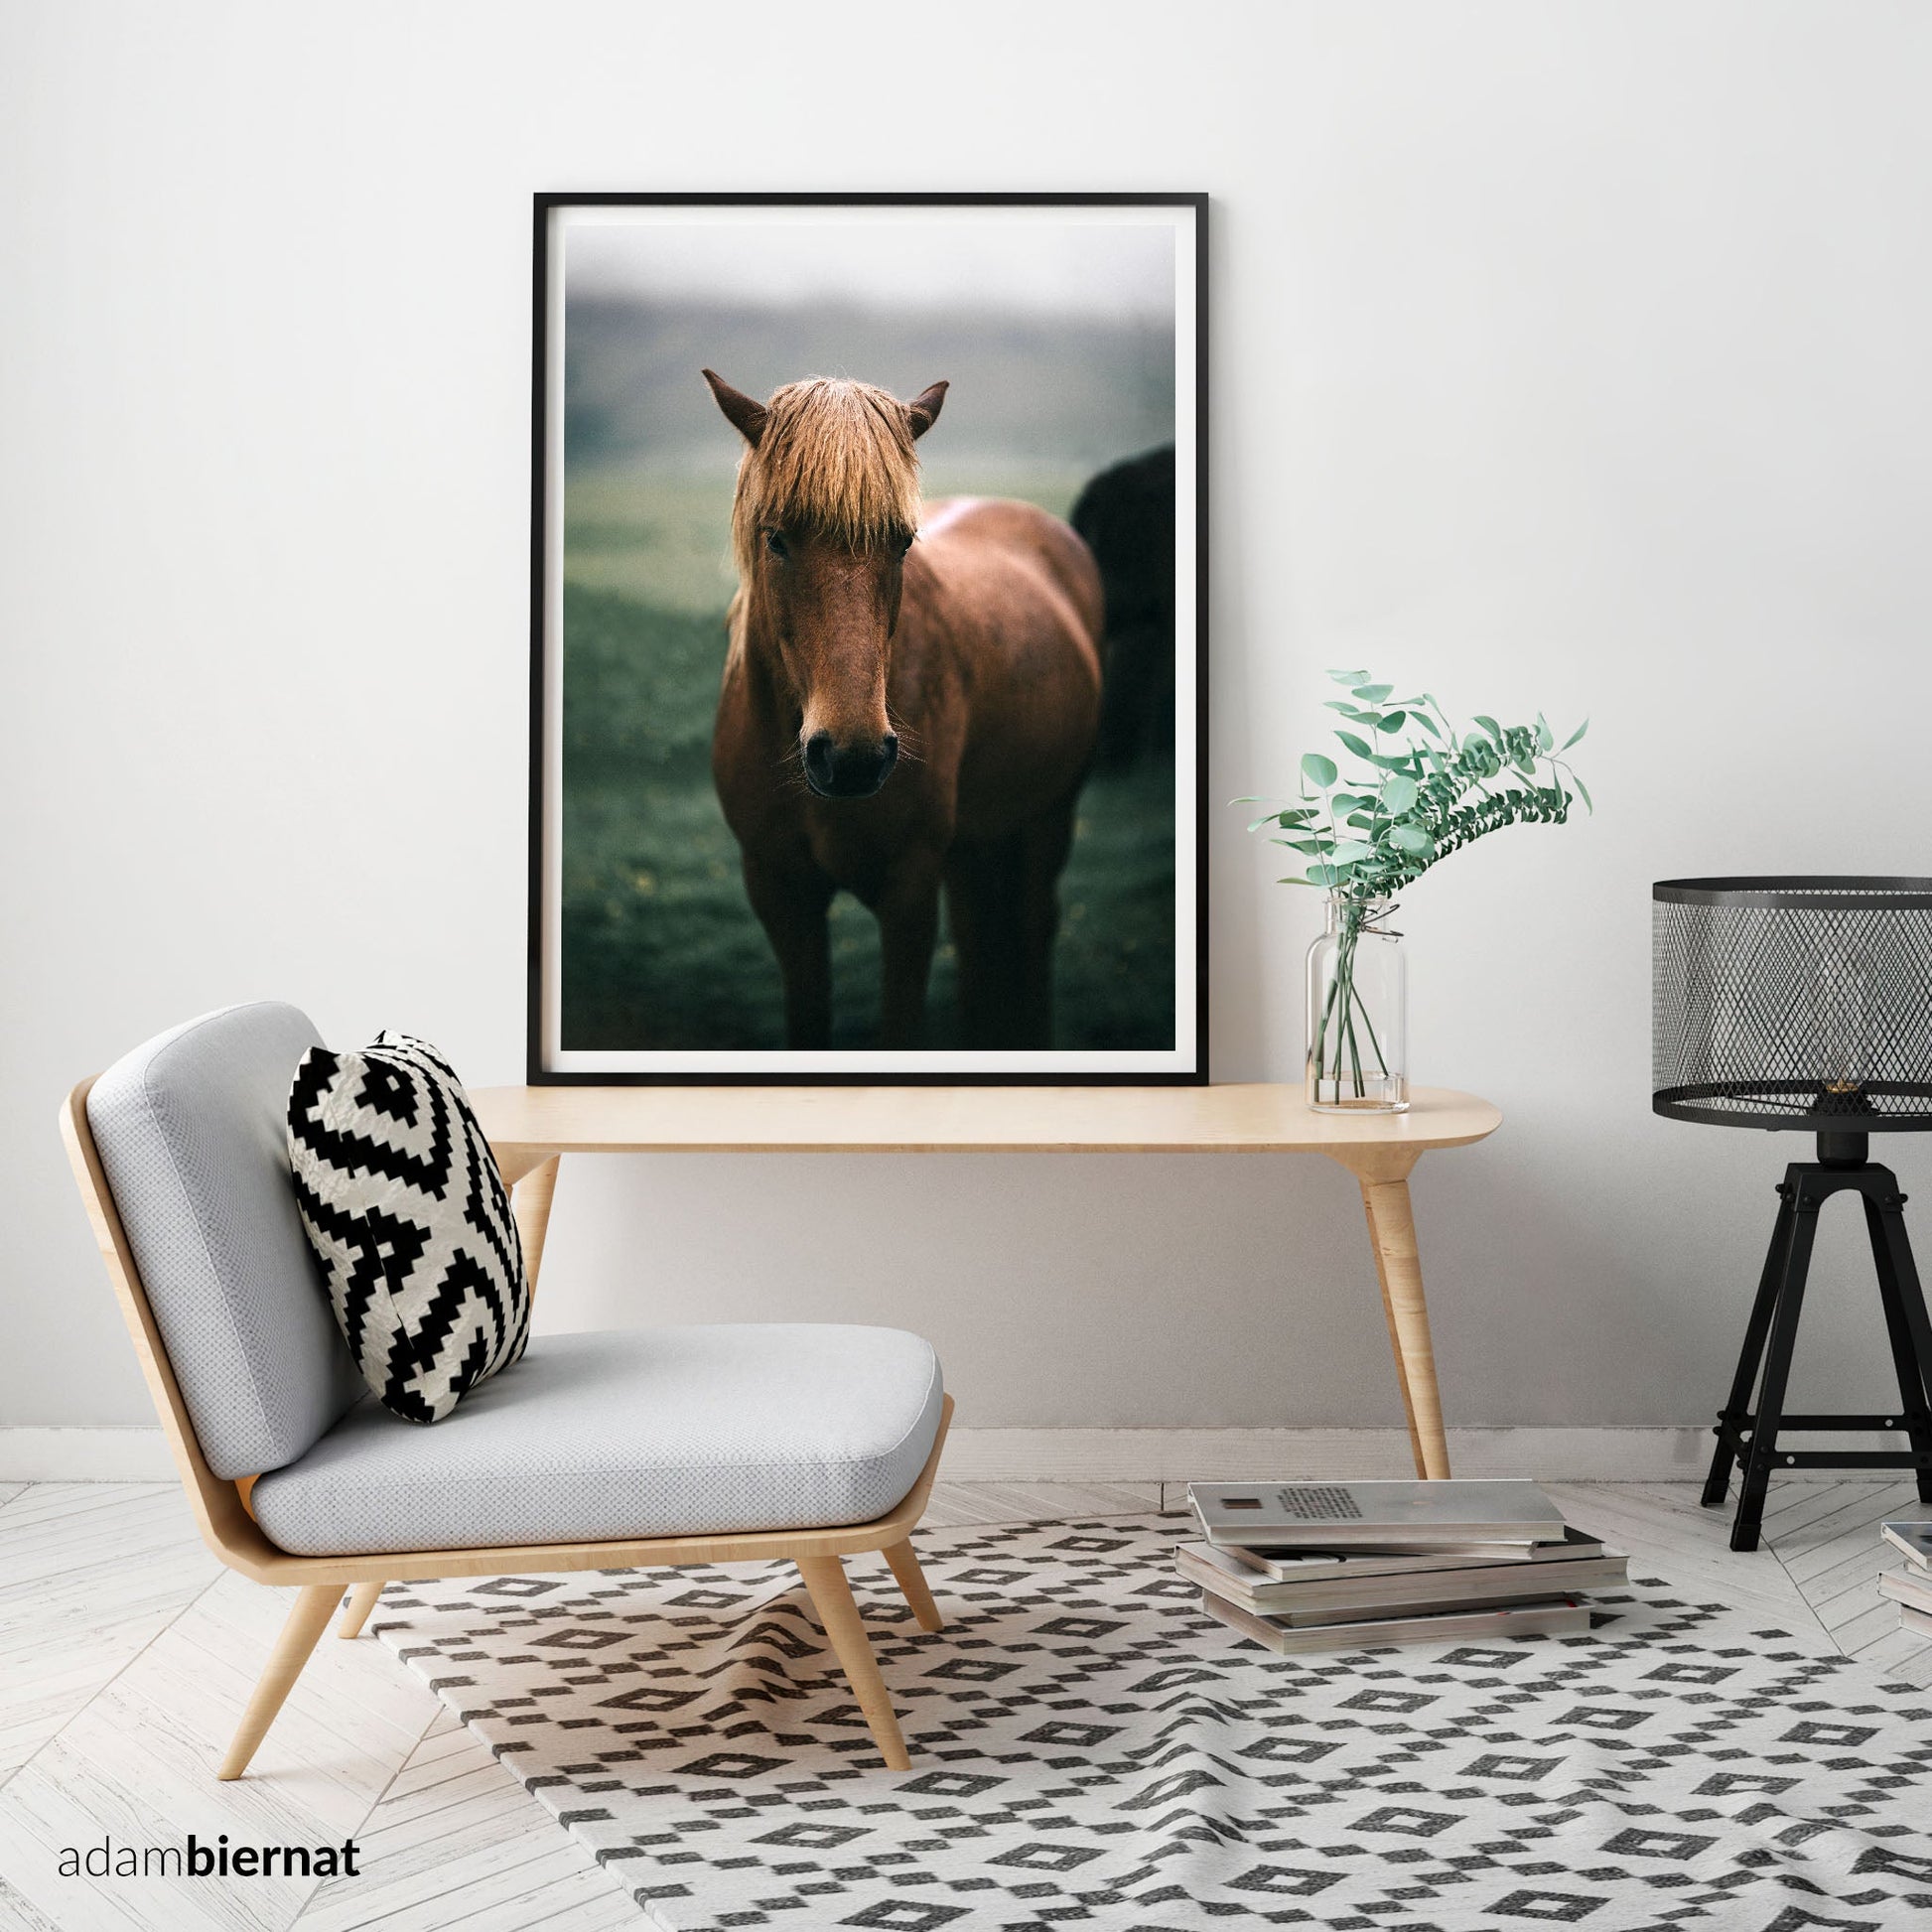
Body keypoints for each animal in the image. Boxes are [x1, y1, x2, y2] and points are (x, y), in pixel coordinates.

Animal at [702, 369, 1105, 1051]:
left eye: (902, 543)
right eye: (775, 538)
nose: (852, 757)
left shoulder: (909, 893)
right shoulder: (781, 895)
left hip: (1049, 815)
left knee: (1033, 931)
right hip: (972, 841)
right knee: (976, 940)